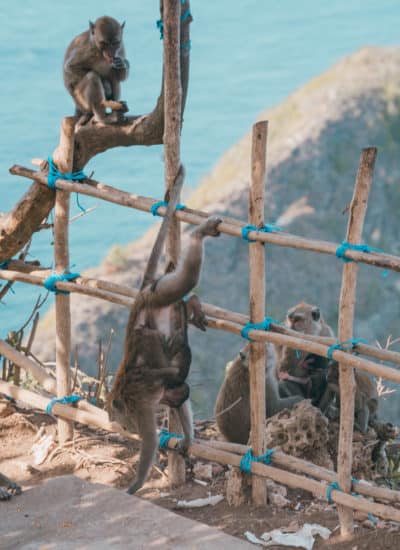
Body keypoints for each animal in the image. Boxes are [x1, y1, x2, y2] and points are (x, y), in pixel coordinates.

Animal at [108, 170, 222, 494]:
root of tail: (142, 295)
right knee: (181, 297)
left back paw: (199, 234)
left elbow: (149, 439)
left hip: (157, 296)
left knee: (187, 279)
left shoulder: (138, 403)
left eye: (123, 420)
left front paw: (134, 486)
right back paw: (192, 304)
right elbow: (179, 394)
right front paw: (188, 438)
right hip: (161, 298)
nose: (125, 428)